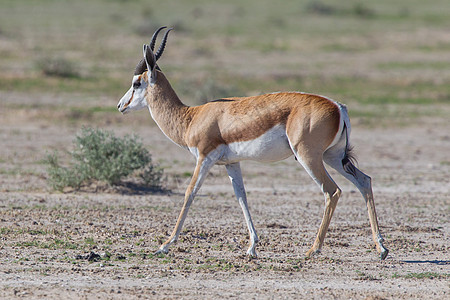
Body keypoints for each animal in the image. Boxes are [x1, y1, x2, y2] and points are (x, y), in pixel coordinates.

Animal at [118, 27, 388, 258]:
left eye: (136, 83)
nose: (120, 105)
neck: (191, 117)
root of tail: (338, 107)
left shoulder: (204, 158)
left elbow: (190, 192)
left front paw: (165, 244)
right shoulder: (231, 163)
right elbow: (242, 197)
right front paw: (252, 247)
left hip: (309, 157)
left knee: (332, 191)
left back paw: (314, 249)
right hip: (333, 157)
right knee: (364, 181)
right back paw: (381, 249)